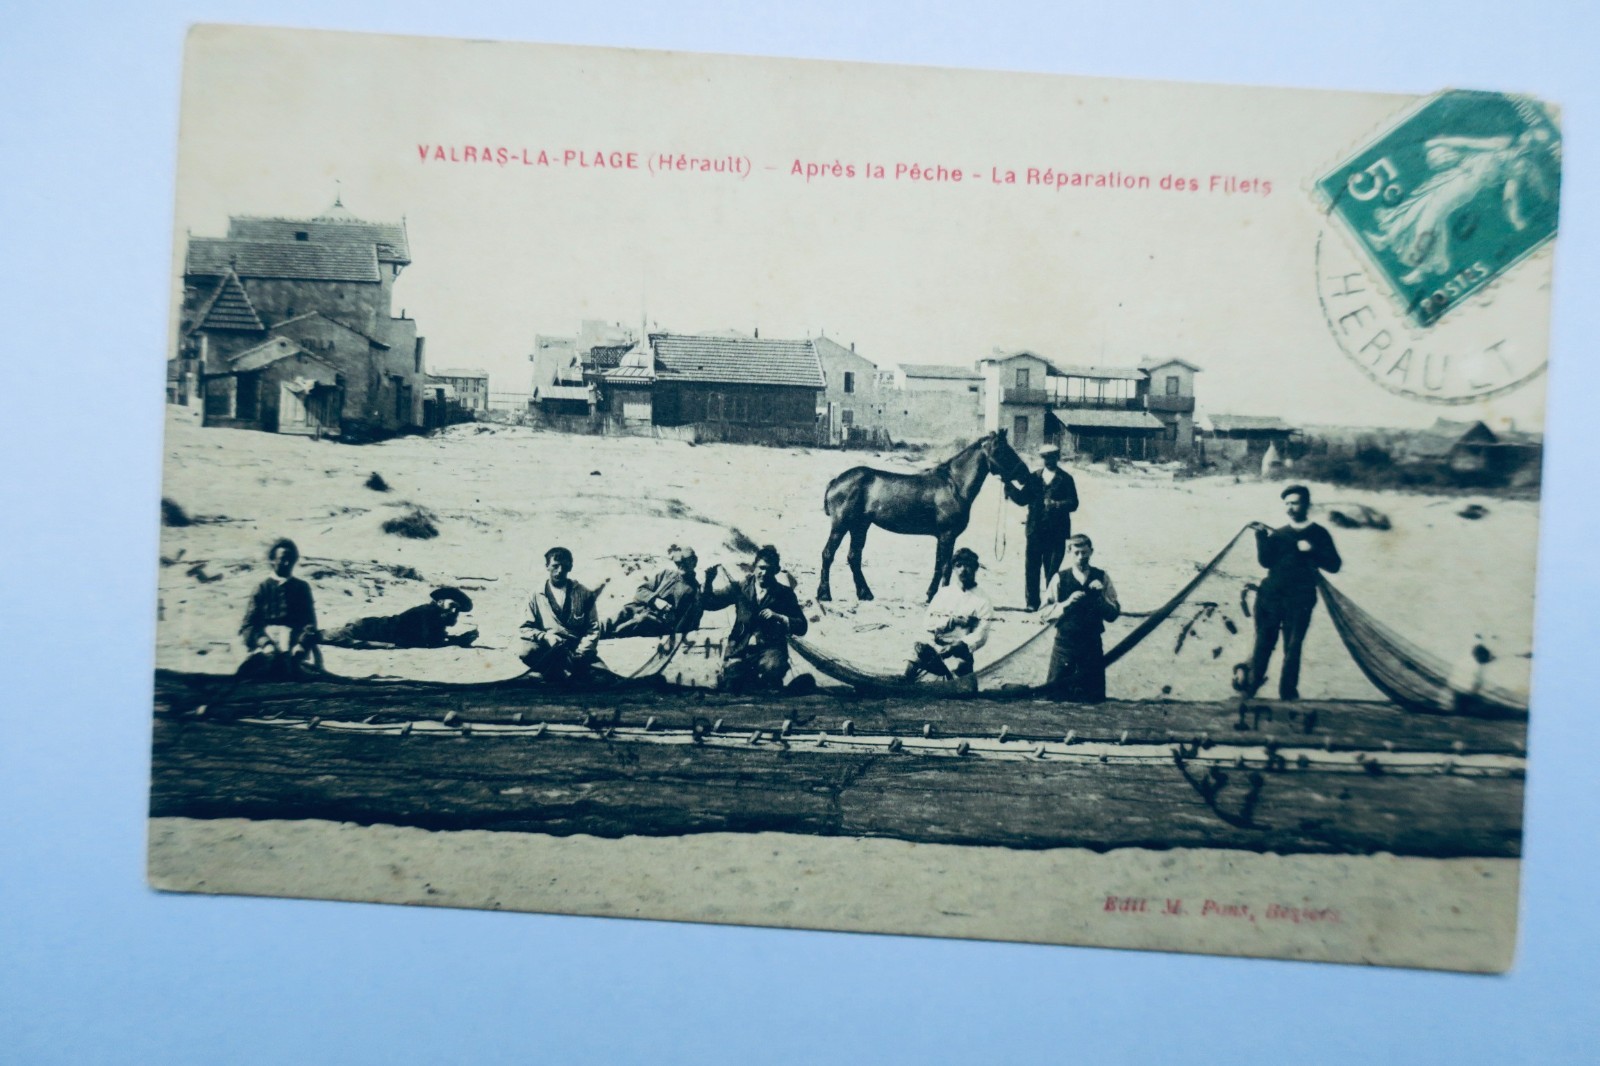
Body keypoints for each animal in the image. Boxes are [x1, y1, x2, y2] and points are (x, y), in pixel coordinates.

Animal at [818, 429, 1029, 603]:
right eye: (1002, 450)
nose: (1025, 474)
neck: (954, 485)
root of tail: (836, 481)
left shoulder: (944, 536)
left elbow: (941, 565)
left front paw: (933, 595)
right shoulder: (947, 535)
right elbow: (945, 566)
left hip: (860, 526)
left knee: (854, 557)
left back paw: (865, 594)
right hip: (841, 525)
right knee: (828, 554)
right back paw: (824, 594)